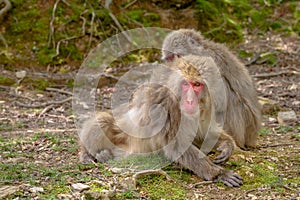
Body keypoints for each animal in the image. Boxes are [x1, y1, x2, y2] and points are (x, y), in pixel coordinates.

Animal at [78, 55, 243, 187]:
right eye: (185, 84)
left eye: (197, 85)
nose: (190, 101)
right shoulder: (167, 104)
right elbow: (177, 146)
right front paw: (219, 174)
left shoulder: (207, 106)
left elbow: (202, 133)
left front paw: (227, 145)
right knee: (103, 120)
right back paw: (89, 154)